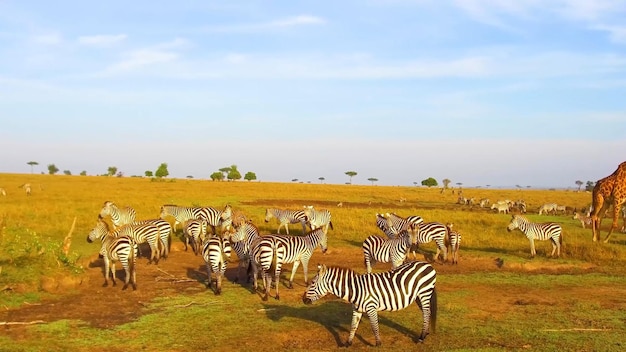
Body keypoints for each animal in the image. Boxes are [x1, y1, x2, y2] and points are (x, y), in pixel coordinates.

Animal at [302, 262, 436, 346]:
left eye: (312, 283)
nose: (303, 299)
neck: (357, 290)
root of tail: (427, 264)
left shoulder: (371, 308)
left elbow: (374, 326)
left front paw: (378, 343)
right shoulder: (357, 309)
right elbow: (353, 326)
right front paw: (348, 343)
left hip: (424, 293)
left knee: (426, 313)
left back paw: (421, 338)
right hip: (419, 296)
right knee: (427, 312)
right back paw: (425, 334)